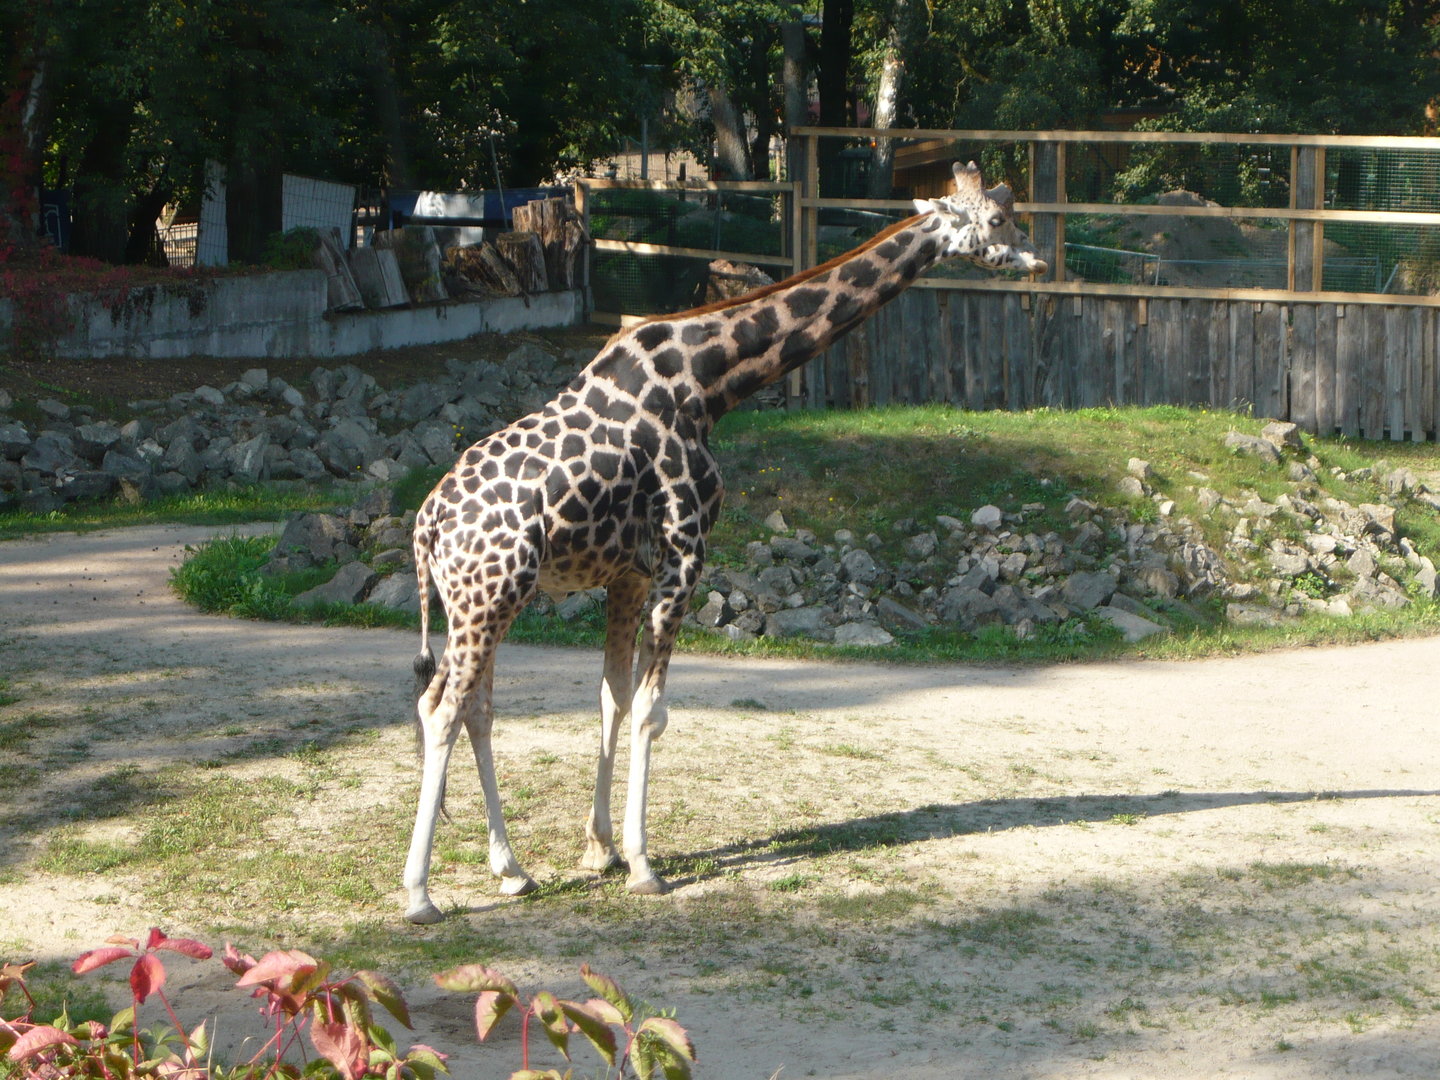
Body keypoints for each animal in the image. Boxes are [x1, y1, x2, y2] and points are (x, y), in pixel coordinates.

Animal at [401, 160, 1047, 924]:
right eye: (999, 220)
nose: (1038, 260)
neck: (712, 383)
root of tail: (426, 524)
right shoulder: (685, 553)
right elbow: (653, 712)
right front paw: (644, 865)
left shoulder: (629, 573)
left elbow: (614, 697)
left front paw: (600, 849)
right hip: (488, 597)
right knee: (444, 710)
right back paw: (419, 894)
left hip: (480, 601)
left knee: (470, 707)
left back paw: (511, 870)